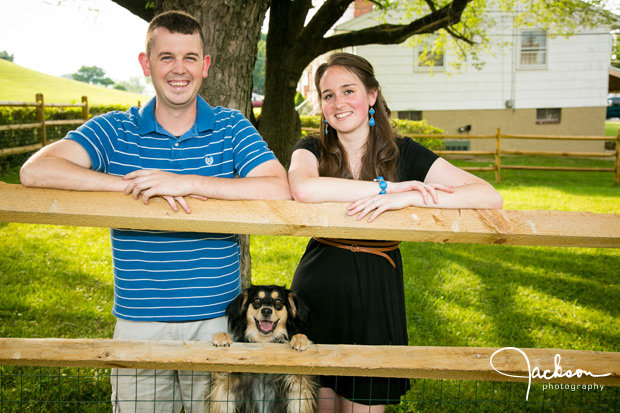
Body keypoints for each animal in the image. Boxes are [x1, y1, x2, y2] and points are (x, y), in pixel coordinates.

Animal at [209, 284, 318, 412]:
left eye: (278, 301)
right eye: (257, 300)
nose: (266, 311)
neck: (264, 343)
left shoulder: (297, 391)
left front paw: (300, 339)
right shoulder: (225, 389)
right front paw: (222, 336)